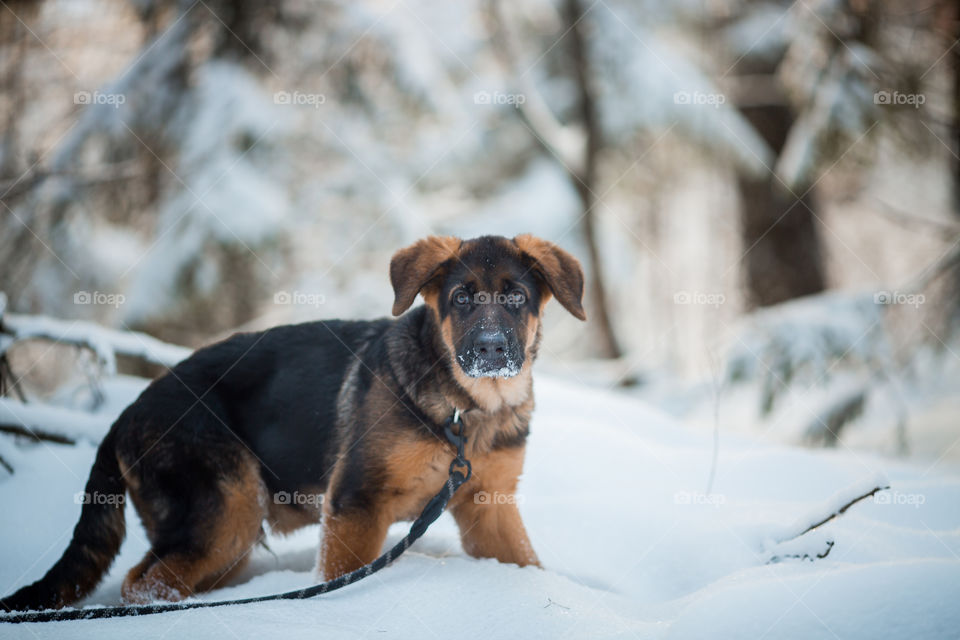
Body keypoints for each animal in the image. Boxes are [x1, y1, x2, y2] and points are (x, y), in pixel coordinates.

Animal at [0, 234, 584, 608]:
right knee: (143, 583)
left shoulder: (491, 508)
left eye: (516, 298)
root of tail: (124, 415)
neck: (467, 408)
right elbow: (338, 577)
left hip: (225, 537)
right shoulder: (355, 504)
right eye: (461, 298)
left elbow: (526, 562)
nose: (490, 350)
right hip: (227, 510)